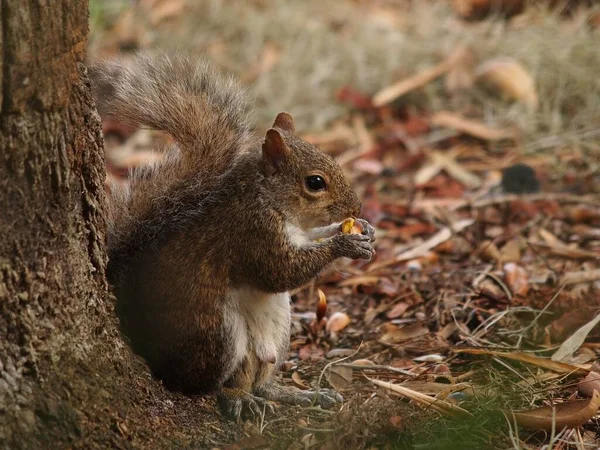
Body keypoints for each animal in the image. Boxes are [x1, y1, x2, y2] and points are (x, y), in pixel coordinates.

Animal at [89, 54, 376, 420]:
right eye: (315, 182)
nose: (356, 206)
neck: (268, 199)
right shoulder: (251, 232)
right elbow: (280, 272)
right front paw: (345, 243)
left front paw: (362, 229)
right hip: (216, 333)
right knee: (206, 385)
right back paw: (235, 397)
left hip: (278, 329)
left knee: (261, 377)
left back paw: (296, 394)